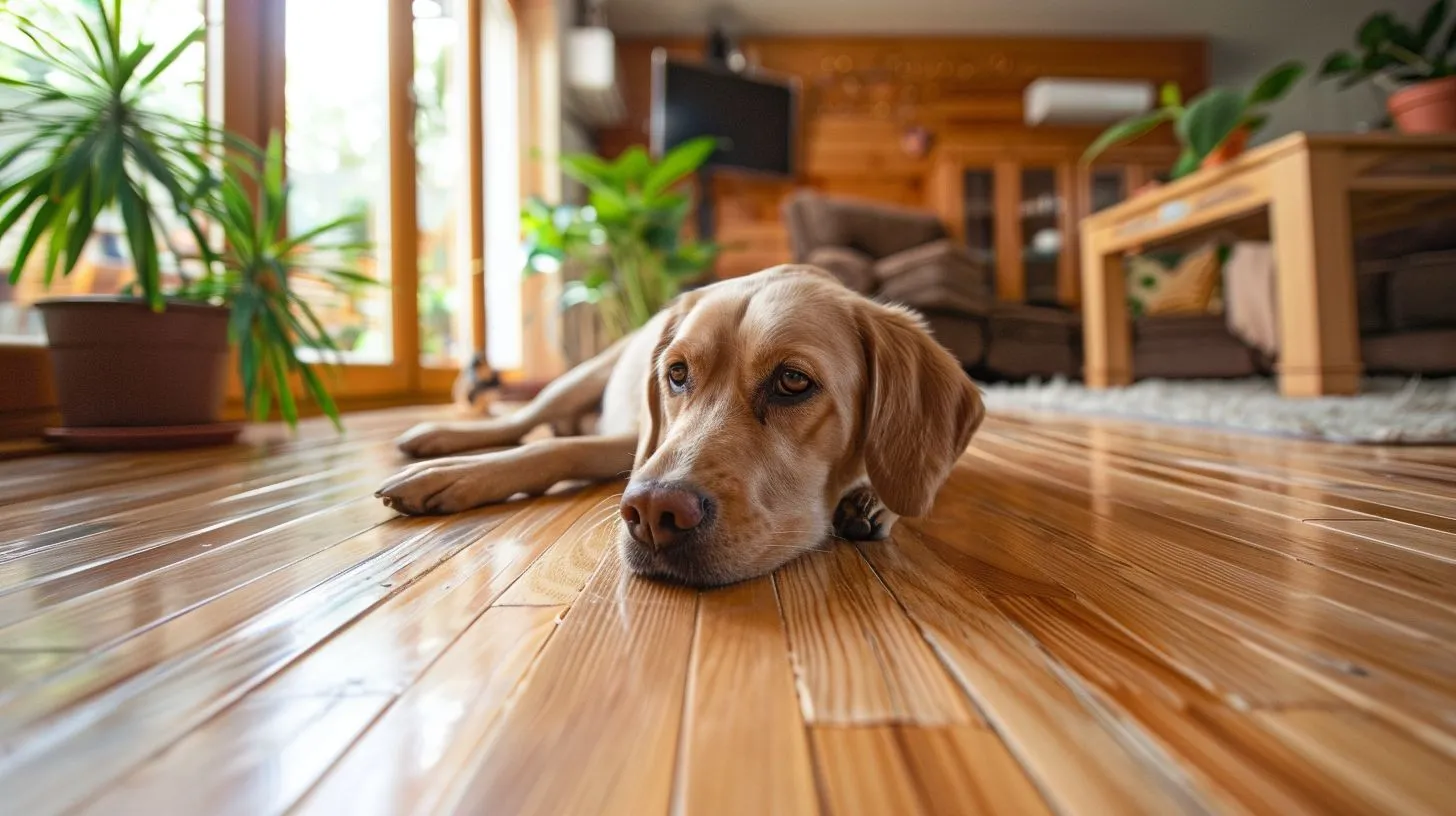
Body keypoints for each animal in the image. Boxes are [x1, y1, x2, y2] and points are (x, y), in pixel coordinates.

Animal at [375, 268, 990, 585]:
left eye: (793, 381)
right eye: (676, 374)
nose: (653, 513)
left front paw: (871, 500)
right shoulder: (639, 443)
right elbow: (553, 451)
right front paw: (452, 475)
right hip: (578, 377)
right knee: (527, 421)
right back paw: (440, 441)